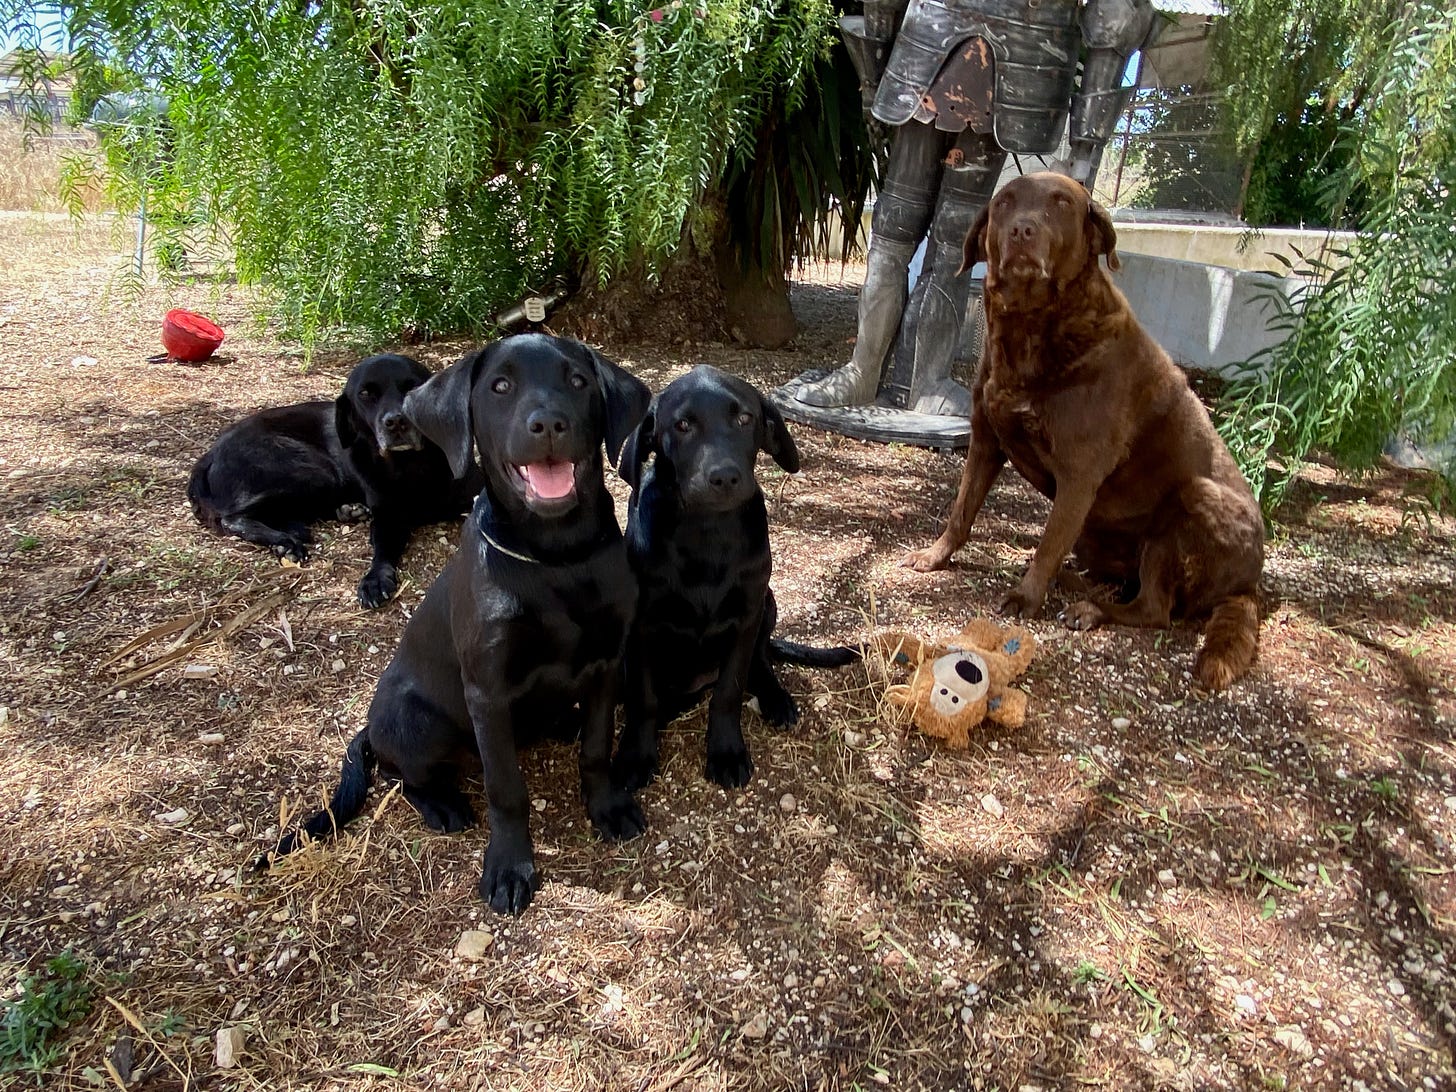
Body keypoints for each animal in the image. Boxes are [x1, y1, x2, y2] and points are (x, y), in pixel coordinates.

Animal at [184, 355, 480, 608]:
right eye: (365, 394)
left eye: (413, 386)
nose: (397, 421)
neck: (411, 468)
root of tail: (209, 454)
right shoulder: (387, 517)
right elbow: (383, 549)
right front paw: (375, 579)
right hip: (313, 471)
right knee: (232, 517)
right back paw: (285, 539)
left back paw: (337, 515)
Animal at [260, 333, 649, 914]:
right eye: (501, 386)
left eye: (578, 381)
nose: (549, 424)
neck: (556, 558)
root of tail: (369, 728)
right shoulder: (487, 691)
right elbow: (505, 789)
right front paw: (510, 866)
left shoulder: (607, 664)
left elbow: (597, 749)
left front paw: (606, 807)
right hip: (422, 724)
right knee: (402, 777)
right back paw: (442, 805)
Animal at [611, 368, 850, 797]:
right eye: (683, 425)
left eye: (743, 419)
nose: (724, 476)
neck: (707, 531)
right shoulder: (640, 623)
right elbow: (643, 697)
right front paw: (636, 755)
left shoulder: (747, 614)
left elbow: (729, 690)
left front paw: (725, 752)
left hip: (768, 602)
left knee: (760, 661)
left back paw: (775, 698)